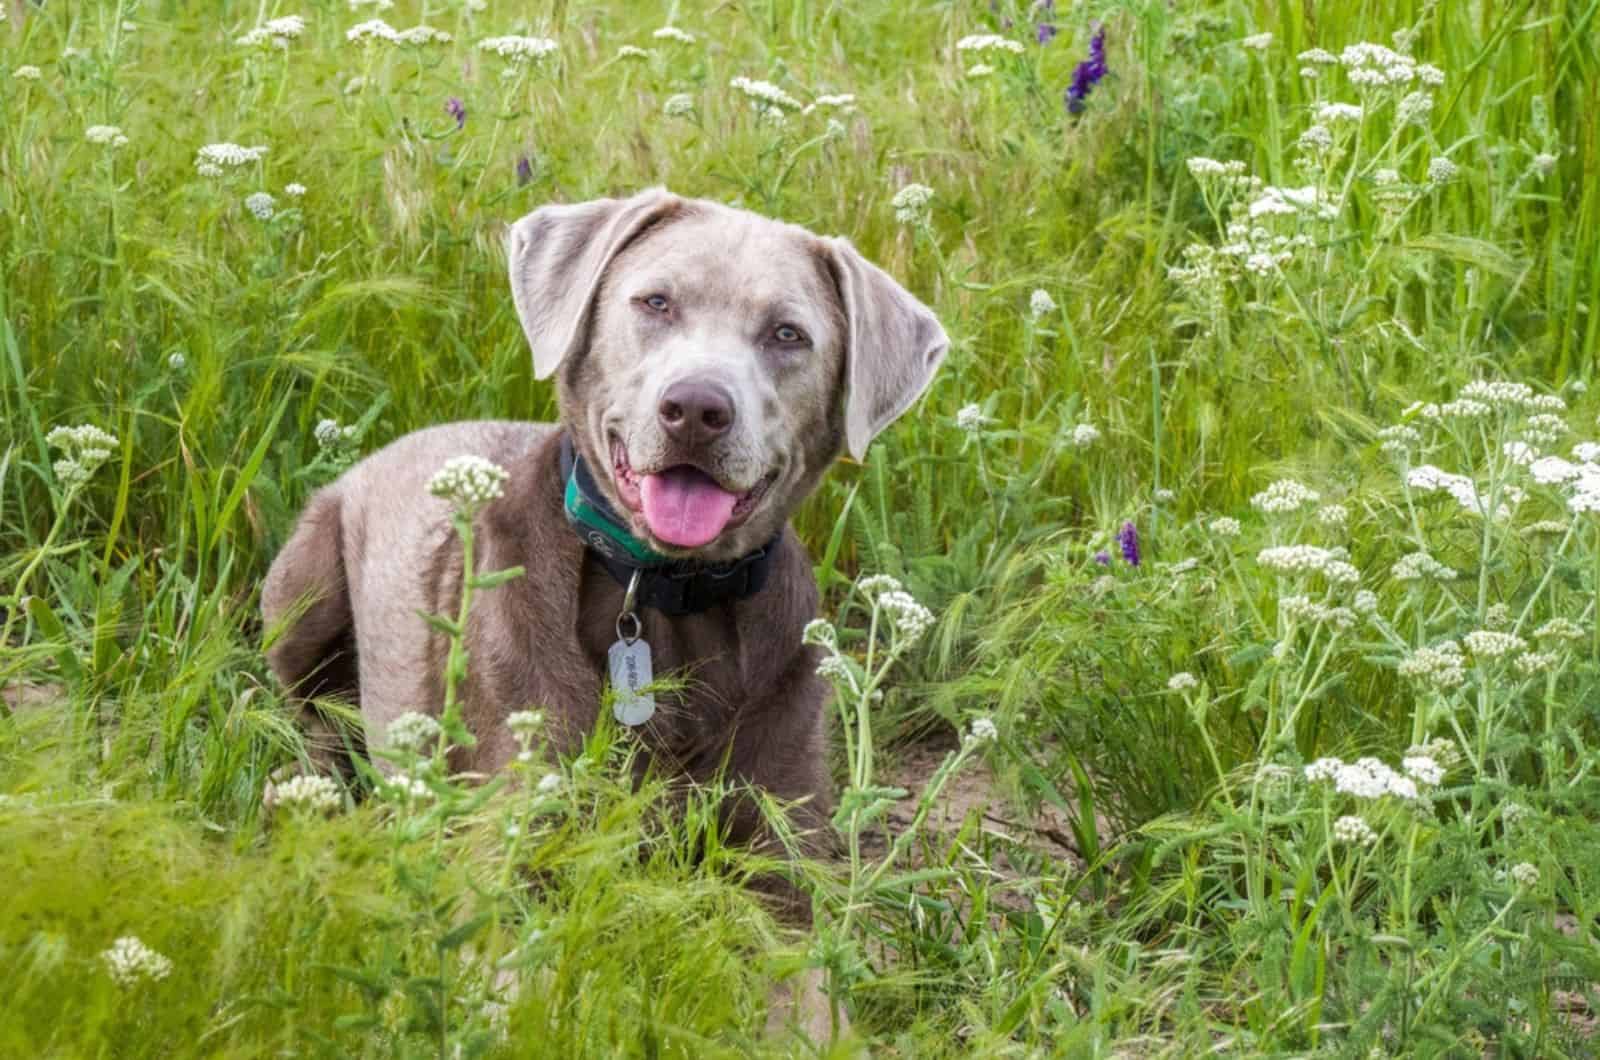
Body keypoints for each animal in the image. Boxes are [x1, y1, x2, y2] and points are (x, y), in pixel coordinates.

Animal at [256, 188, 940, 1031]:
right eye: (655, 302)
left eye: (788, 334)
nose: (696, 408)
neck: (668, 598)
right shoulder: (511, 851)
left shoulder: (782, 868)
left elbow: (808, 1006)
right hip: (303, 587)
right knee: (311, 719)